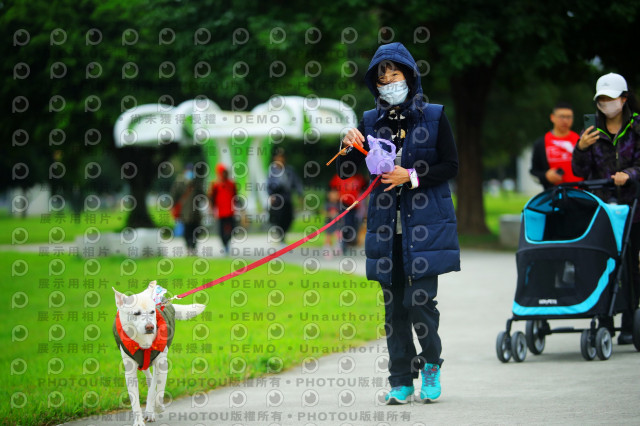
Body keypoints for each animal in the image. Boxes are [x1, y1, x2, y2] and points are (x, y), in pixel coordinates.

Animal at [112, 282, 205, 424]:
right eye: (136, 313)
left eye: (152, 311)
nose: (150, 327)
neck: (143, 340)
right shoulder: (130, 371)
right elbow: (135, 399)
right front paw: (138, 421)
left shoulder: (162, 364)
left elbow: (156, 391)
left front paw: (155, 408)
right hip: (143, 364)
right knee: (149, 377)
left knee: (154, 383)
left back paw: (154, 408)